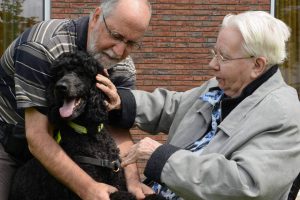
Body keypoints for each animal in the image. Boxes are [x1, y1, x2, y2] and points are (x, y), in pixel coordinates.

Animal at [9, 51, 165, 200]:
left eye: (81, 73)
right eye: (59, 74)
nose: (60, 87)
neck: (89, 133)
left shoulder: (118, 180)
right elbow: (126, 196)